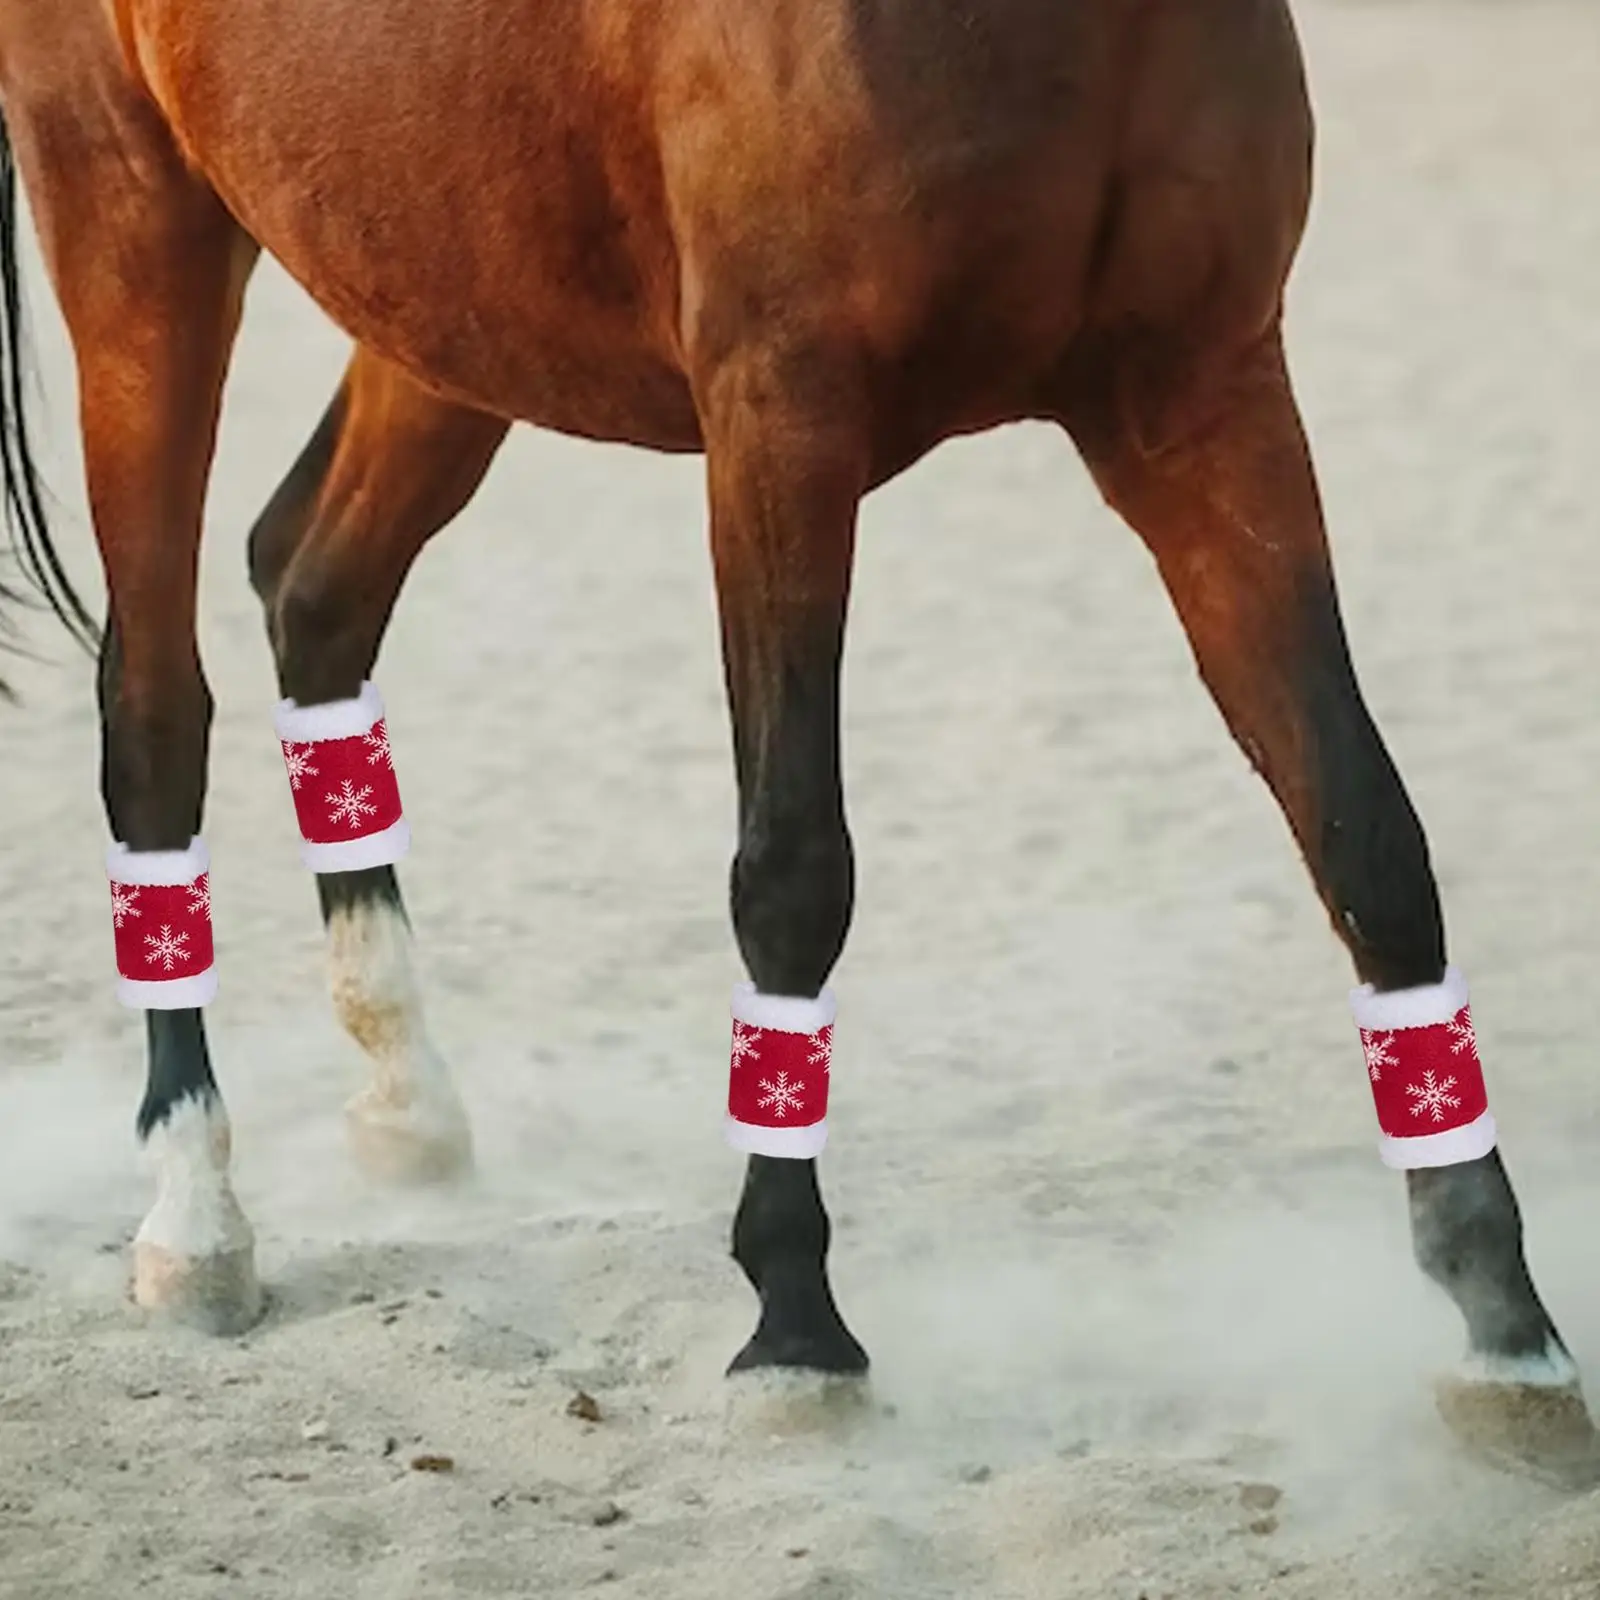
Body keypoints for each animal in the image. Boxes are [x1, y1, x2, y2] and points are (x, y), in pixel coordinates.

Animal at [0, 0, 1587, 1472]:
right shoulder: (782, 424)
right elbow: (792, 867)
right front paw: (795, 1329)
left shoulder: (1201, 398)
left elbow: (1366, 834)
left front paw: (1503, 1325)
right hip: (137, 231)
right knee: (155, 706)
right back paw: (197, 1215)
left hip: (438, 299)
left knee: (316, 588)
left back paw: (405, 1095)